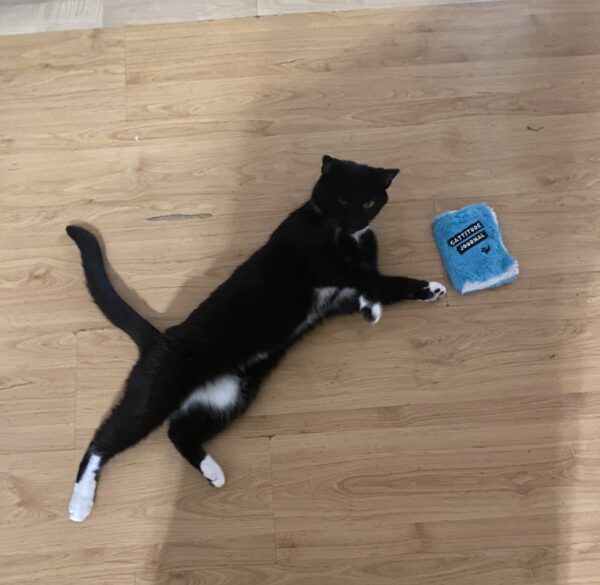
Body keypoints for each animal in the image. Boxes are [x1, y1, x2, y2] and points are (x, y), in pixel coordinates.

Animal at [67, 154, 446, 520]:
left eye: (367, 202)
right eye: (340, 199)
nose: (353, 220)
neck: (348, 237)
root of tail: (158, 338)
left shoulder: (340, 297)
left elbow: (378, 286)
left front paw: (412, 296)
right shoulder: (322, 262)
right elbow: (372, 278)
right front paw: (396, 296)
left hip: (230, 396)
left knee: (180, 433)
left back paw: (213, 473)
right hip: (158, 392)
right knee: (105, 439)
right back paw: (80, 502)